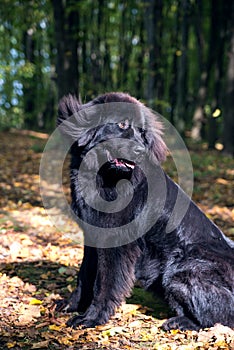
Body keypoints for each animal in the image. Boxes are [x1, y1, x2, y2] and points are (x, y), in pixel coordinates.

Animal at [55, 92, 234, 330]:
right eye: (122, 124)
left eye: (142, 132)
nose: (140, 150)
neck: (103, 177)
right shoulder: (92, 235)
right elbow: (85, 275)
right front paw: (71, 305)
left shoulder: (115, 241)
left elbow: (104, 282)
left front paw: (91, 318)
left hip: (181, 268)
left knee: (220, 317)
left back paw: (180, 323)